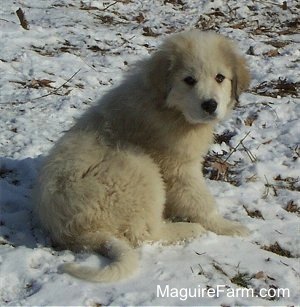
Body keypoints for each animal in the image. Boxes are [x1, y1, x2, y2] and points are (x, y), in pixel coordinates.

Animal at [32, 30, 250, 282]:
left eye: (220, 77)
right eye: (189, 80)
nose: (210, 105)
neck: (169, 107)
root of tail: (78, 233)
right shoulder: (178, 168)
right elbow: (200, 201)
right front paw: (228, 226)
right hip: (138, 169)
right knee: (144, 234)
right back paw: (187, 229)